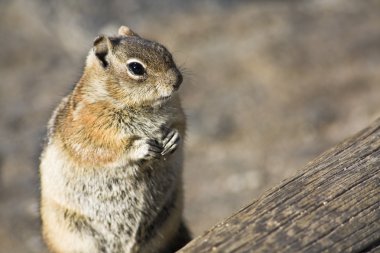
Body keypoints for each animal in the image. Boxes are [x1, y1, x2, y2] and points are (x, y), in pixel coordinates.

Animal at [39, 25, 190, 253]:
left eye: (164, 50)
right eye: (136, 68)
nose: (177, 81)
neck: (142, 106)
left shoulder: (177, 112)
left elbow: (180, 126)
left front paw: (173, 138)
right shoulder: (89, 130)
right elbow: (107, 149)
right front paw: (142, 147)